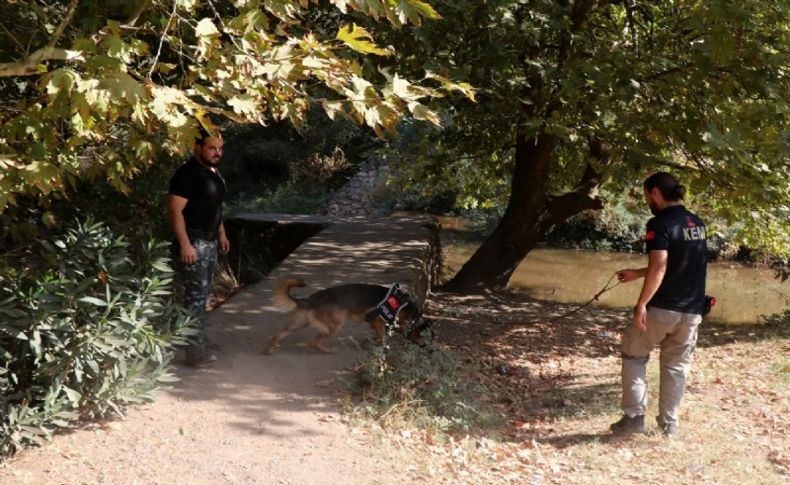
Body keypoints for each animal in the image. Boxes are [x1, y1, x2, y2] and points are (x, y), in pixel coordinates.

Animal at [264, 278, 426, 354]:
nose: (428, 350)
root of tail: (311, 299)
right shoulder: (375, 319)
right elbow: (382, 337)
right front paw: (383, 347)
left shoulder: (377, 323)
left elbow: (380, 335)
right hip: (335, 326)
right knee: (313, 342)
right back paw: (328, 351)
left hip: (298, 323)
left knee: (279, 334)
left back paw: (268, 350)